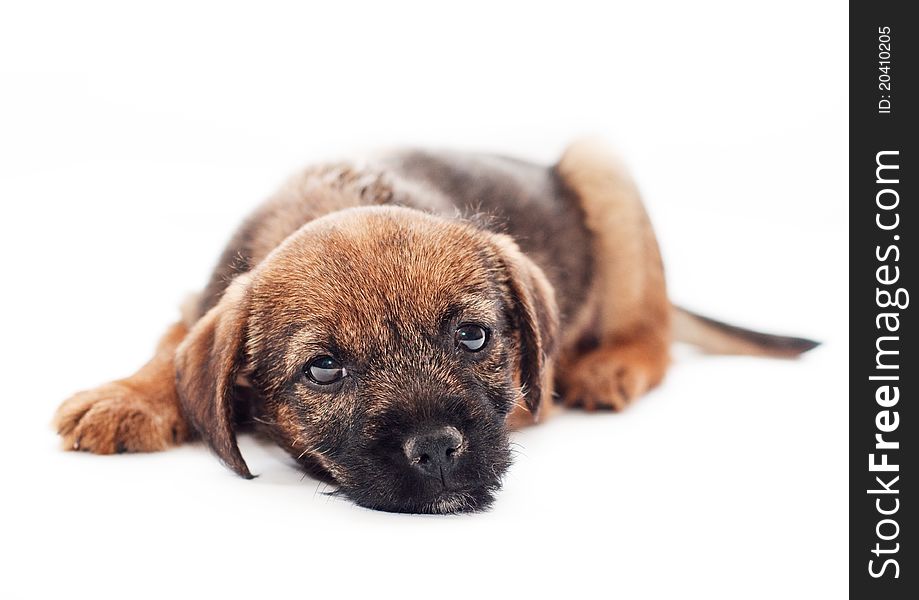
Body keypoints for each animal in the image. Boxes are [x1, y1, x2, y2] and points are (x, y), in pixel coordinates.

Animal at [54, 143, 816, 512]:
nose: (439, 449)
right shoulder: (198, 302)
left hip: (603, 172)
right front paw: (128, 396)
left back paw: (609, 364)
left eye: (472, 337)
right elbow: (171, 351)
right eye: (323, 367)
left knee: (653, 333)